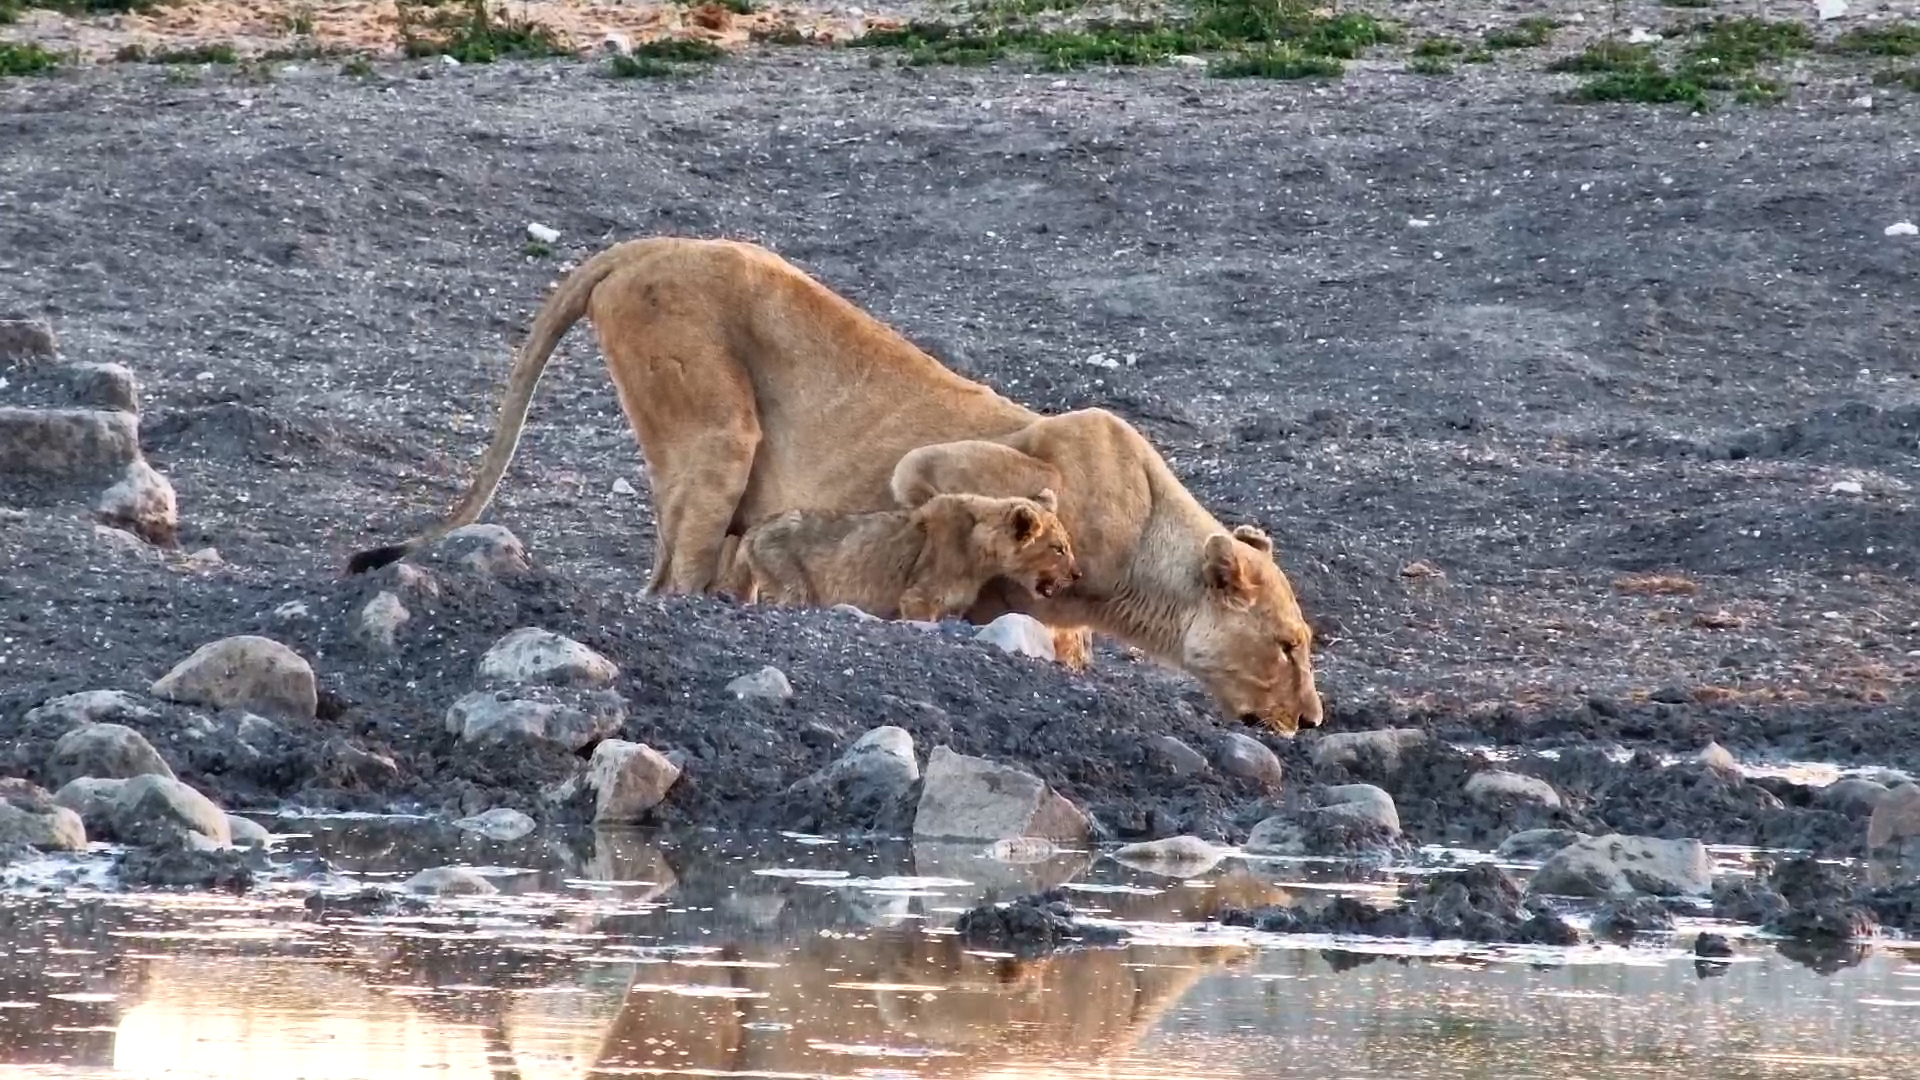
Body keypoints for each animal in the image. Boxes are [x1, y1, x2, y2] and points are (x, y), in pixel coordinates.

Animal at [724, 489, 1080, 622]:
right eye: (1058, 548)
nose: (1078, 575)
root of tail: (754, 530)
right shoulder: (918, 599)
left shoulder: (952, 609)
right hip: (791, 585)